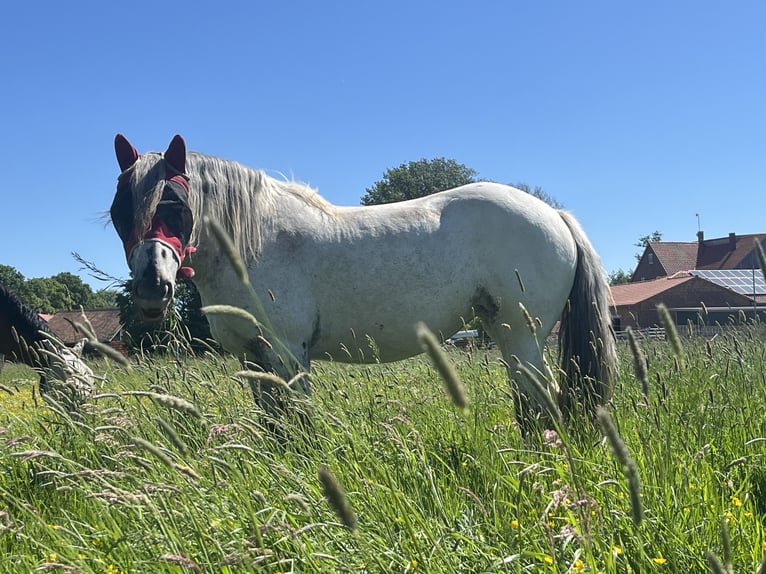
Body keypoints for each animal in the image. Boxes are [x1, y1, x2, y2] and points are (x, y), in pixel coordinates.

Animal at [109, 135, 616, 428]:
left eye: (176, 205)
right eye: (119, 211)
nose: (153, 289)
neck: (253, 242)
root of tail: (554, 214)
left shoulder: (288, 354)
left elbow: (299, 427)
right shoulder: (254, 359)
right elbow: (275, 429)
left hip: (523, 337)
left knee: (543, 404)